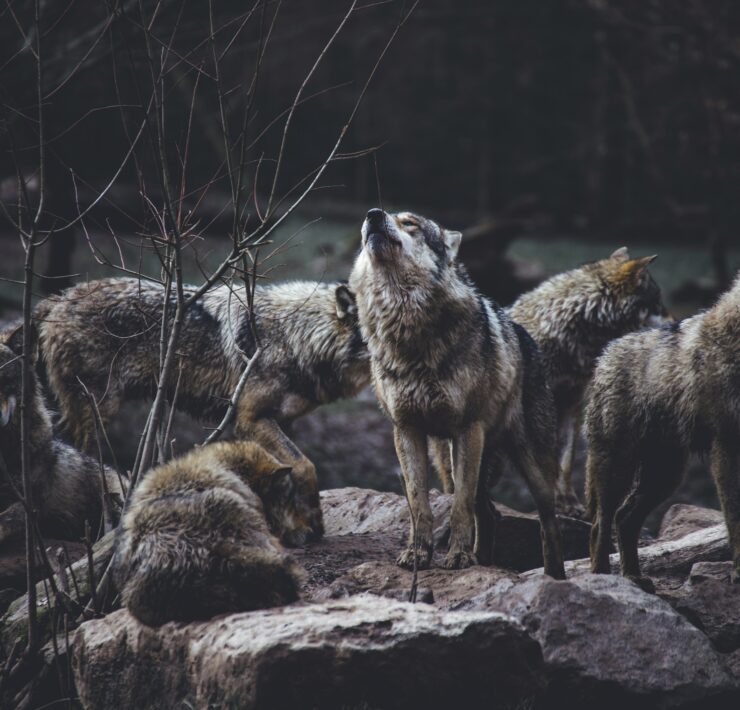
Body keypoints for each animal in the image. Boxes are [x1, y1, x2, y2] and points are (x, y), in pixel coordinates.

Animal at [35, 278, 370, 543]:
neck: (295, 336)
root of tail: (59, 297)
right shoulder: (251, 419)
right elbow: (305, 465)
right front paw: (313, 522)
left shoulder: (282, 421)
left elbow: (288, 474)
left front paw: (298, 527)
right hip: (98, 413)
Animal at [349, 208, 565, 577]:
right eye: (380, 215)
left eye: (410, 223)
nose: (373, 215)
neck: (406, 327)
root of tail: (526, 336)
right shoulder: (406, 430)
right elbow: (418, 504)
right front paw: (418, 555)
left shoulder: (467, 429)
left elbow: (459, 507)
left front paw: (460, 558)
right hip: (449, 461)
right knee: (490, 513)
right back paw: (485, 561)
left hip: (529, 465)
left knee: (547, 522)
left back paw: (555, 576)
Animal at [586, 272, 740, 589]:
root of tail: (605, 353)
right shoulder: (727, 447)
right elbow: (735, 516)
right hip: (619, 468)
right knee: (600, 524)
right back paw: (604, 579)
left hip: (665, 475)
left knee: (624, 518)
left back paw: (633, 577)